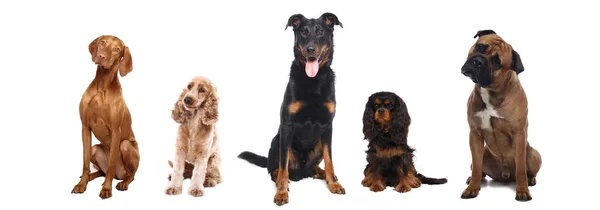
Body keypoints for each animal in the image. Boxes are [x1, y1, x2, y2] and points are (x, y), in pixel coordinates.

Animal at [71, 35, 141, 199]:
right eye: (103, 43)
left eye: (117, 49)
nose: (101, 56)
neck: (102, 87)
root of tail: (119, 175)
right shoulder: (85, 127)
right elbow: (85, 164)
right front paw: (82, 184)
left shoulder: (116, 131)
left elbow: (110, 166)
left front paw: (106, 189)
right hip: (95, 148)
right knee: (100, 171)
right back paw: (89, 177)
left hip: (126, 146)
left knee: (130, 175)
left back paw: (122, 183)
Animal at [237, 12, 344, 206]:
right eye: (303, 32)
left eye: (320, 31)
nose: (310, 49)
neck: (313, 81)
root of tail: (302, 172)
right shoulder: (287, 125)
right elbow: (283, 167)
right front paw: (281, 192)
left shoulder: (328, 127)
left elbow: (330, 160)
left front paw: (333, 183)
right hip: (276, 142)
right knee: (276, 169)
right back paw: (283, 181)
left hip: (317, 144)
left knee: (315, 167)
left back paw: (323, 174)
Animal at [460, 30, 544, 202]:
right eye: (480, 46)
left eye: (497, 62)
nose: (478, 62)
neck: (491, 91)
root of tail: (505, 176)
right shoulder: (475, 134)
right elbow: (476, 167)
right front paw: (472, 188)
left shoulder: (519, 135)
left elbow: (521, 169)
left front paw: (522, 191)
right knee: (477, 168)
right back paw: (472, 179)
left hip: (534, 154)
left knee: (528, 170)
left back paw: (531, 179)